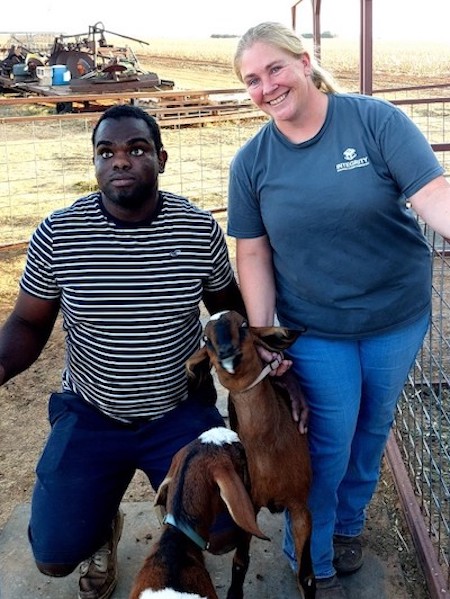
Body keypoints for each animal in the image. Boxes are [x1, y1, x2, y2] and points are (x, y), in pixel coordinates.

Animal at [186, 312, 312, 596]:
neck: (268, 452)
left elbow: (307, 576)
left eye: (243, 325)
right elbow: (240, 562)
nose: (226, 351)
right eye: (206, 339)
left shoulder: (301, 505)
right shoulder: (248, 505)